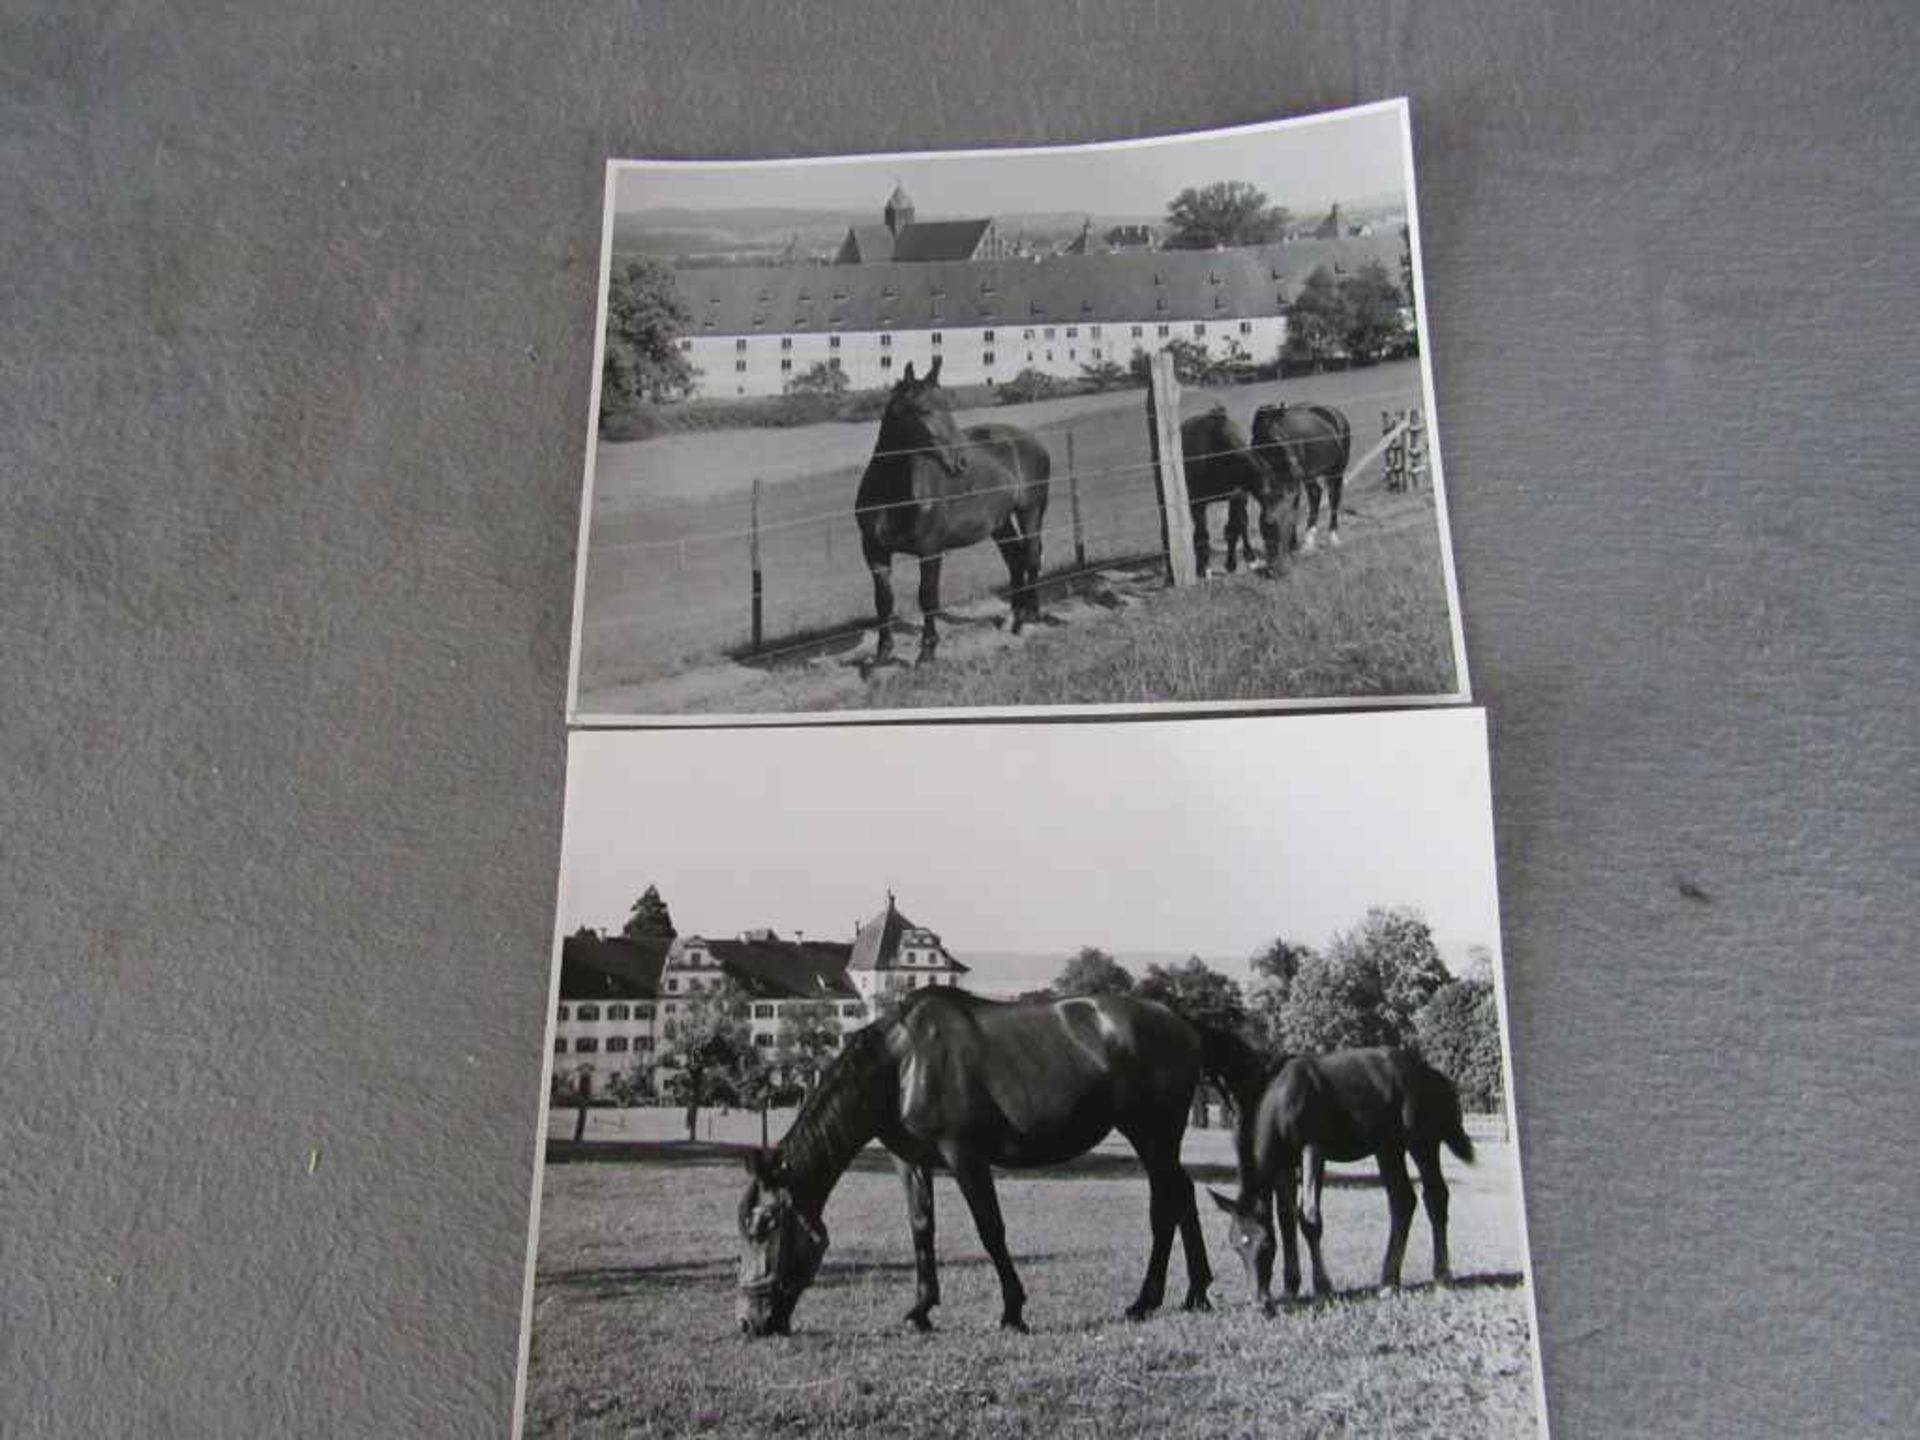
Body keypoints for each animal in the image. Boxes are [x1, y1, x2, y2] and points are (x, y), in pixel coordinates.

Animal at [733, 990, 1228, 1344]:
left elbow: (990, 1230)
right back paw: (1196, 1293)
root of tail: (1181, 1021)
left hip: (1152, 1137)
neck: (902, 1064)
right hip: (1158, 1142)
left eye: (763, 1225)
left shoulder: (964, 1156)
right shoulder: (910, 1160)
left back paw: (1146, 1301)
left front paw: (1013, 1312)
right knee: (1182, 1197)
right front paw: (920, 1311)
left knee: (1167, 1206)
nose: (748, 1322)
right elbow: (921, 1229)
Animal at [856, 366, 1052, 672]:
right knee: (1015, 560)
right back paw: (1013, 616)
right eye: (923, 410)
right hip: (1000, 523)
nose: (961, 463)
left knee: (1031, 557)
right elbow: (883, 602)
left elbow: (927, 597)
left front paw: (926, 653)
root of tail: (1029, 440)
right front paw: (882, 655)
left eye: (947, 406)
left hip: (1030, 510)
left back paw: (1028, 619)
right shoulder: (874, 551)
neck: (893, 493)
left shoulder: (930, 551)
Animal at [1175, 403, 1297, 579]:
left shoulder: (1238, 496)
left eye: (1292, 522)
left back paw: (1249, 556)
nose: (1283, 570)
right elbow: (1202, 534)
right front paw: (1203, 568)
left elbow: (1234, 529)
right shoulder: (1197, 502)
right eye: (1270, 525)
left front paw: (1231, 564)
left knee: (1242, 524)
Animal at [1205, 1044, 1474, 1313]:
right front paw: (1290, 1289)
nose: (1259, 1304)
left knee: (1436, 1196)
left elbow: (1309, 1218)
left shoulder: (1313, 1148)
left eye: (1266, 1245)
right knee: (1403, 1201)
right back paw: (1389, 1283)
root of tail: (1432, 1074)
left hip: (1422, 1142)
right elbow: (1285, 1219)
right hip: (1388, 1148)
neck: (1282, 1099)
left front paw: (1323, 1289)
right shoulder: (1283, 1164)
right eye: (1235, 1246)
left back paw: (1442, 1278)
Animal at [1244, 407, 1351, 552]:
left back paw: (1332, 537)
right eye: (1275, 438)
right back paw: (1309, 539)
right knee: (1315, 494)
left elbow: (1293, 509)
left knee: (1333, 497)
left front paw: (1292, 544)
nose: (1296, 468)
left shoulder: (1293, 483)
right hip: (1309, 476)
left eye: (1286, 435)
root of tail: (1335, 413)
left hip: (1336, 471)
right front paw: (1291, 544)